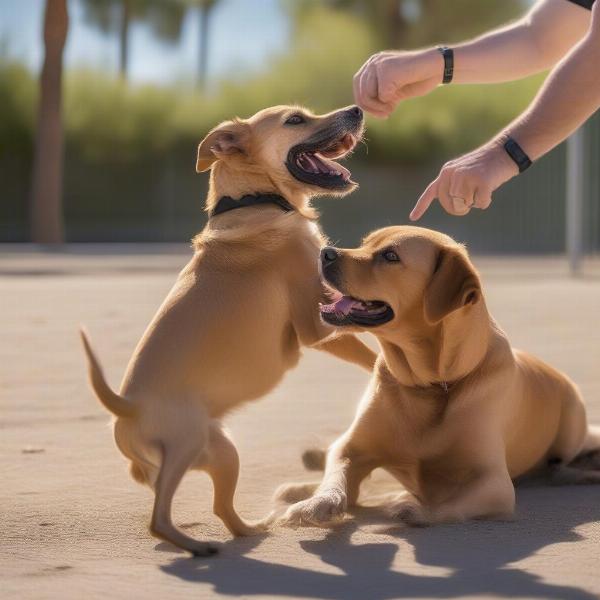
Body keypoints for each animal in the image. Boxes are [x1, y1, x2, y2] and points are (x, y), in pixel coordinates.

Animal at [81, 104, 376, 556]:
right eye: (295, 120)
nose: (357, 109)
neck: (255, 200)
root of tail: (126, 407)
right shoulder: (315, 325)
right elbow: (369, 349)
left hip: (219, 452)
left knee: (211, 508)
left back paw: (244, 532)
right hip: (196, 447)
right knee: (163, 517)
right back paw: (212, 541)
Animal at [278, 226, 600, 528]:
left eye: (390, 256)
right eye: (364, 243)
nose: (325, 252)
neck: (430, 384)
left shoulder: (495, 482)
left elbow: (449, 503)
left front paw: (412, 506)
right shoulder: (351, 448)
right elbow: (336, 473)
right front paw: (317, 502)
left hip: (571, 423)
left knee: (561, 465)